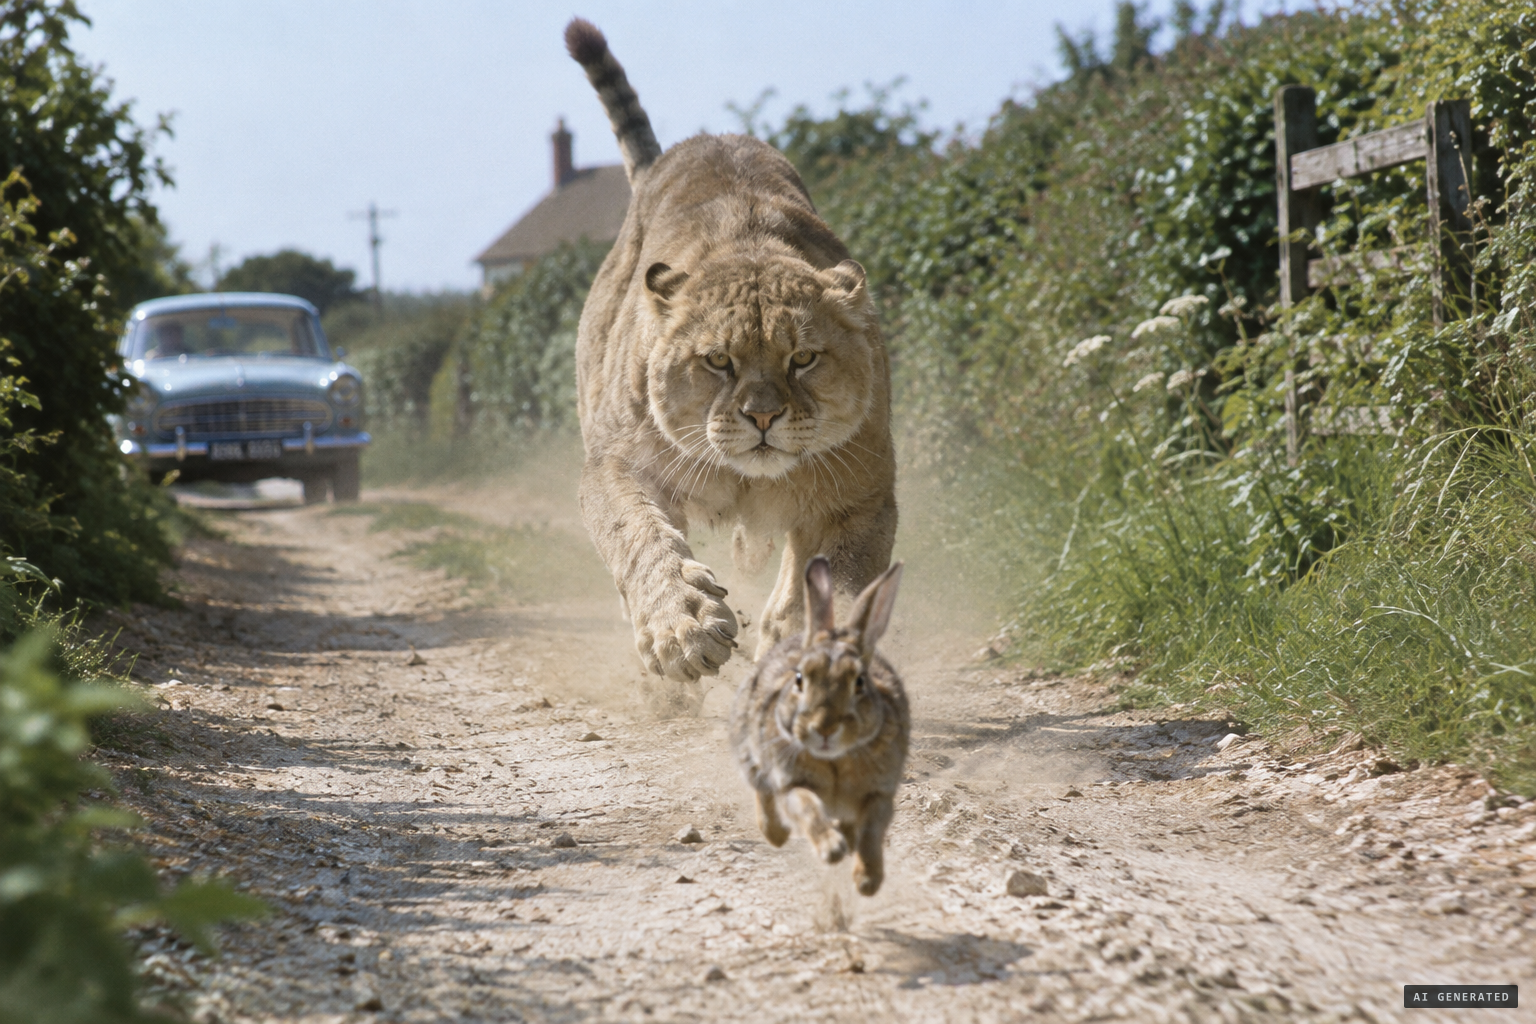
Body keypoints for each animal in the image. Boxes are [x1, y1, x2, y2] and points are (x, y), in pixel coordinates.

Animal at [730, 554, 909, 896]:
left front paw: (867, 880)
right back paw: (777, 835)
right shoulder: (791, 780)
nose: (824, 728)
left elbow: (871, 831)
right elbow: (808, 808)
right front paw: (832, 849)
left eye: (859, 682)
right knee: (764, 794)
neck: (836, 759)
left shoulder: (880, 794)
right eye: (800, 679)